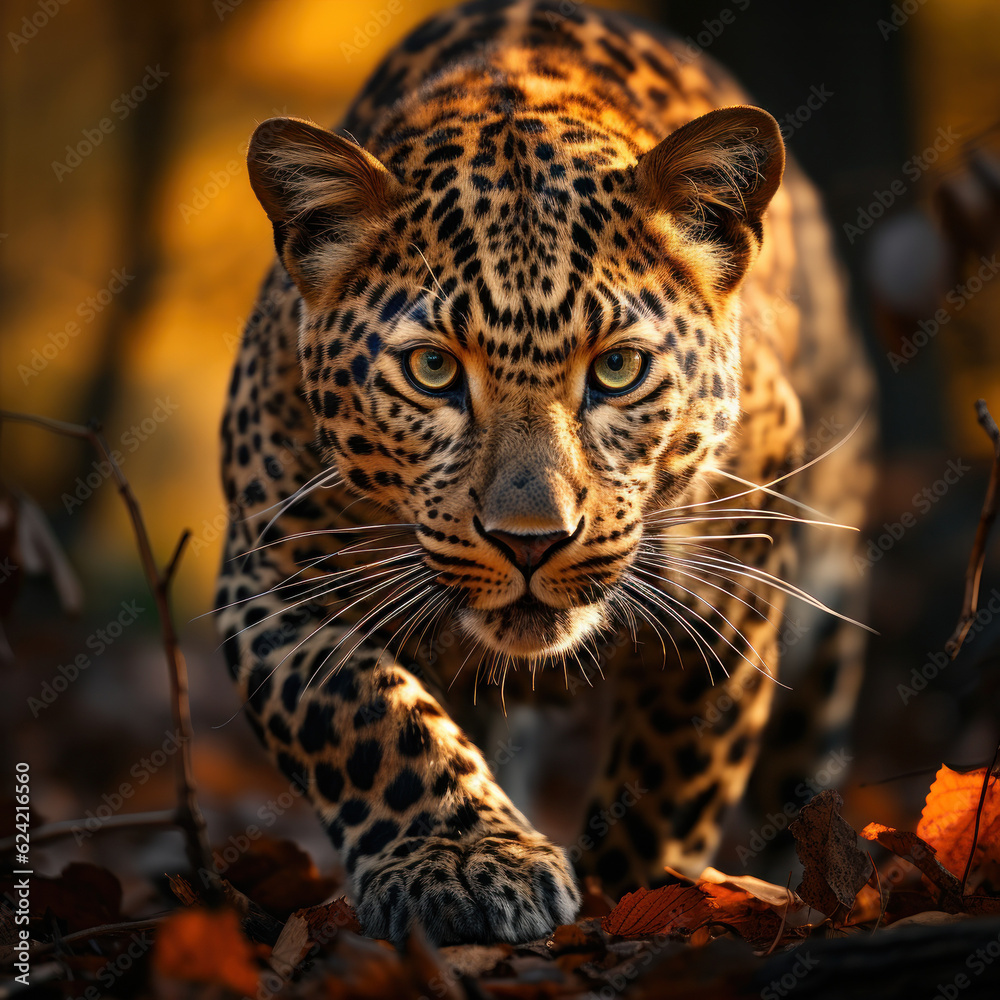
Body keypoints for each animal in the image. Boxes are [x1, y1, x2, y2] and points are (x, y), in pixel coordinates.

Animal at [214, 0, 875, 947]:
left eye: (619, 369)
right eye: (432, 371)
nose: (531, 542)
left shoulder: (733, 591)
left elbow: (671, 777)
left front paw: (637, 896)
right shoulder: (274, 580)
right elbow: (365, 717)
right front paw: (462, 862)